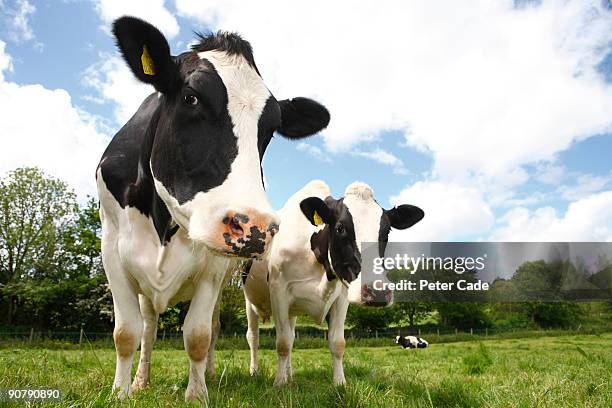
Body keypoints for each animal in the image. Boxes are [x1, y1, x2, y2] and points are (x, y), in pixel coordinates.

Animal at [97, 16, 330, 402]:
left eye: (270, 129)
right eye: (191, 98)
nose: (255, 227)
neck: (163, 222)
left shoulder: (214, 264)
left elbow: (198, 334)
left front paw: (197, 394)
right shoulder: (112, 248)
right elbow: (127, 332)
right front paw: (121, 393)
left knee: (213, 327)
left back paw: (207, 372)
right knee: (149, 326)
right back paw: (141, 379)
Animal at [240, 181, 426, 386]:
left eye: (387, 231)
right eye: (340, 228)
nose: (377, 292)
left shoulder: (342, 296)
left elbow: (337, 342)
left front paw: (339, 383)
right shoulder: (278, 290)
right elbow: (282, 343)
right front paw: (279, 384)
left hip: (292, 312)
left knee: (291, 335)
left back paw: (290, 374)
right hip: (250, 302)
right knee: (253, 337)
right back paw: (255, 372)